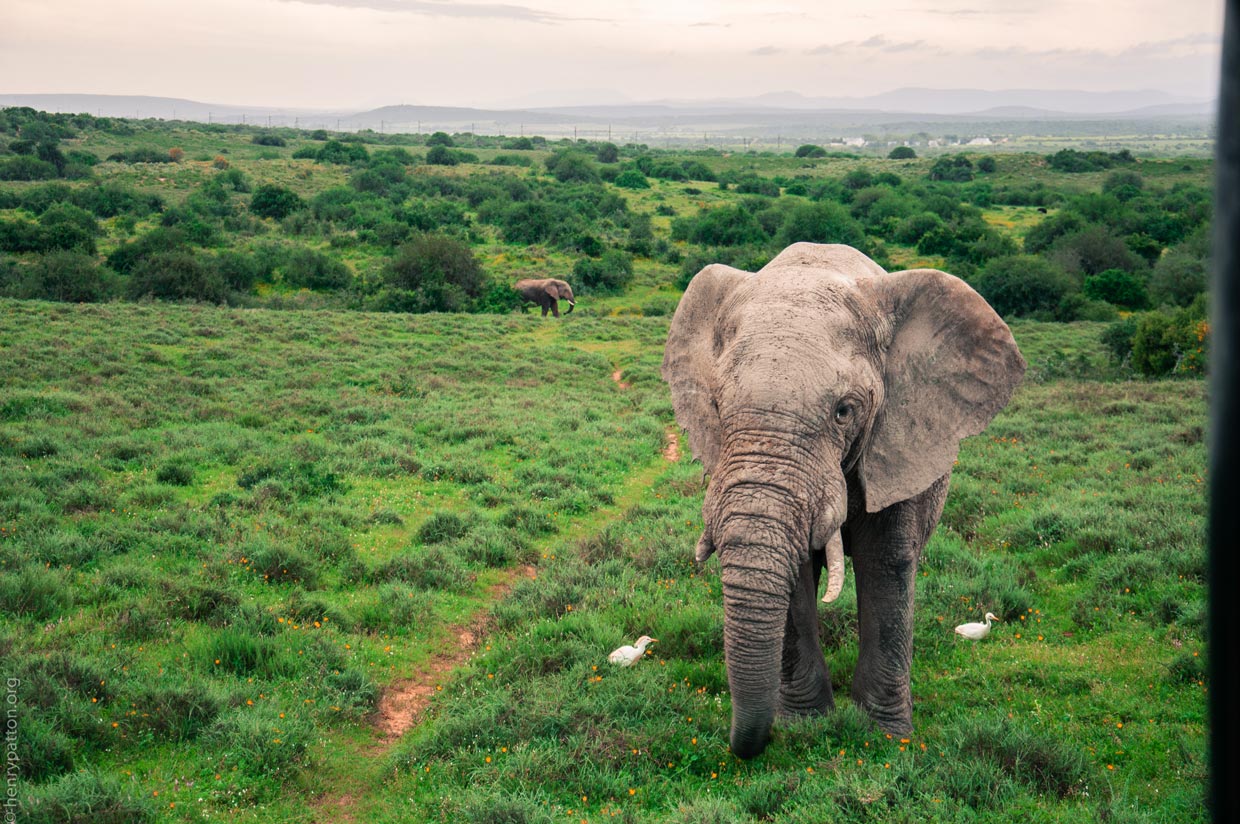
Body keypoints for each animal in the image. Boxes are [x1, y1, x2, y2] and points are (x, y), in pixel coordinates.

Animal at [661, 243, 1025, 759]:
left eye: (844, 411)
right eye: (716, 406)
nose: (744, 746)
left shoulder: (898, 436)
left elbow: (886, 563)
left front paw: (886, 735)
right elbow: (797, 570)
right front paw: (805, 725)